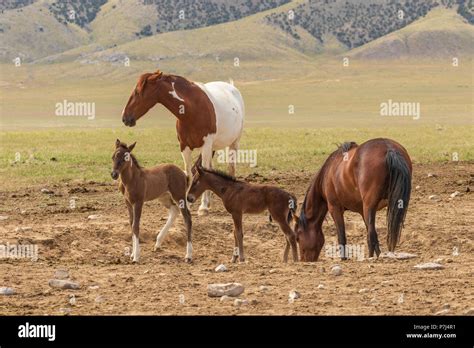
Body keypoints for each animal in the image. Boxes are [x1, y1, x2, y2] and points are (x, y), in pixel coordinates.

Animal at [120, 70, 244, 215]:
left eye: (138, 91)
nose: (125, 117)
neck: (191, 109)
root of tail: (232, 87)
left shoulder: (206, 145)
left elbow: (204, 173)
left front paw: (203, 206)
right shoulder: (184, 147)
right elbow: (189, 174)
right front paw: (188, 204)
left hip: (233, 143)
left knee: (231, 168)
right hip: (212, 148)